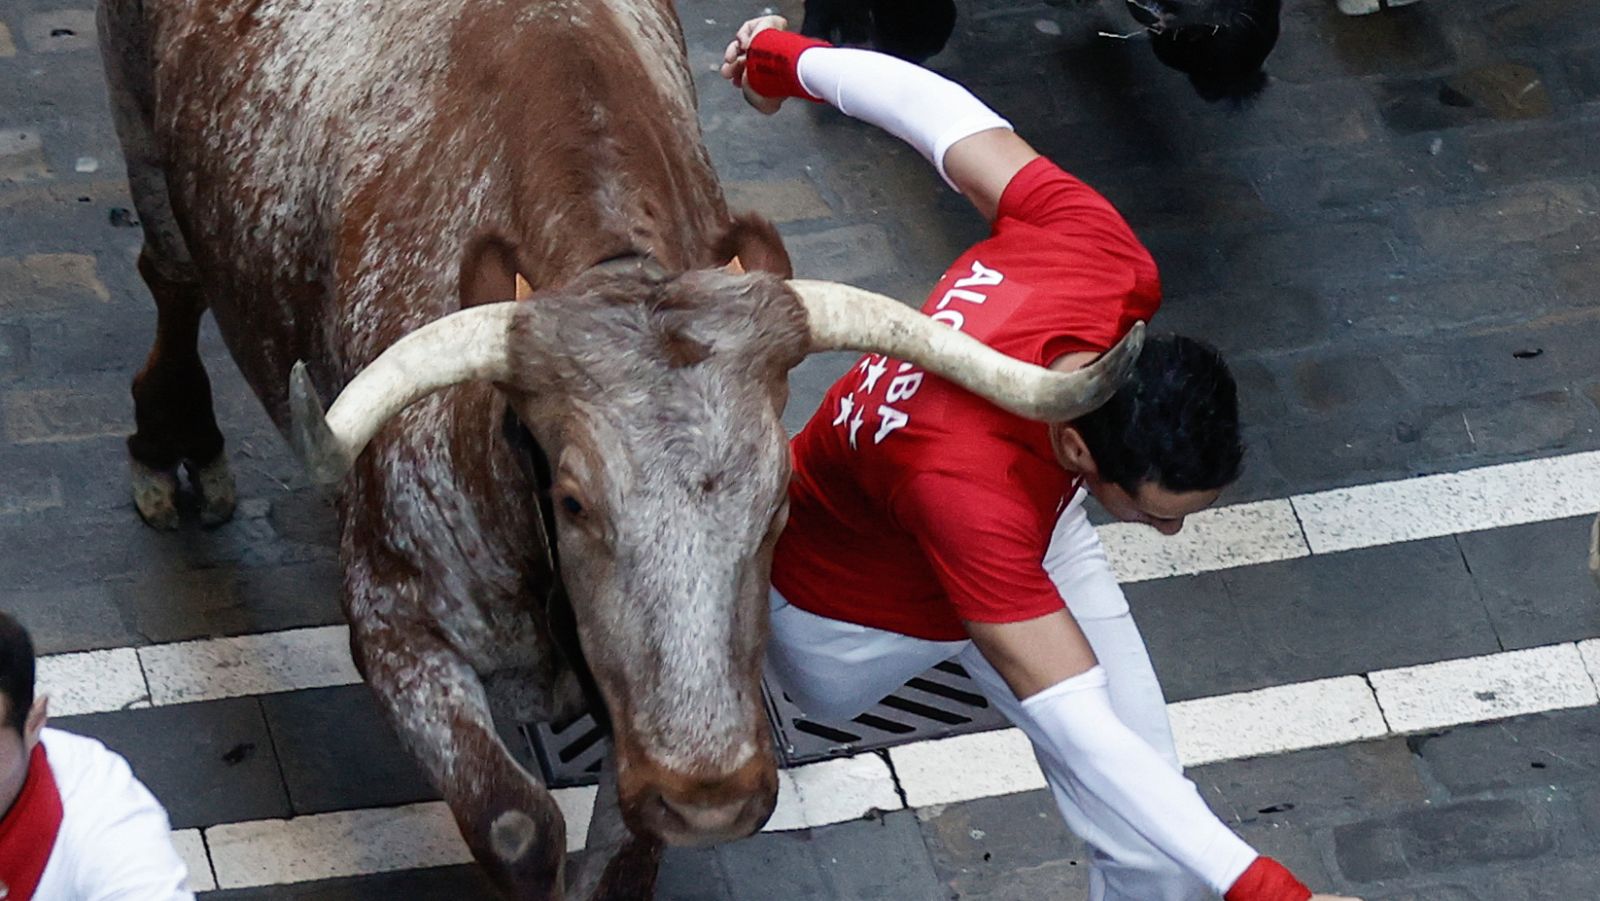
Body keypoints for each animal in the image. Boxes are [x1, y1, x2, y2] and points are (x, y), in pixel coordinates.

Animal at [96, 0, 1139, 896]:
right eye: (572, 500)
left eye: (780, 504)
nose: (708, 795)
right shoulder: (392, 615)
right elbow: (518, 823)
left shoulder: (633, 716)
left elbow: (624, 856)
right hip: (141, 130)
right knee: (170, 273)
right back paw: (173, 444)